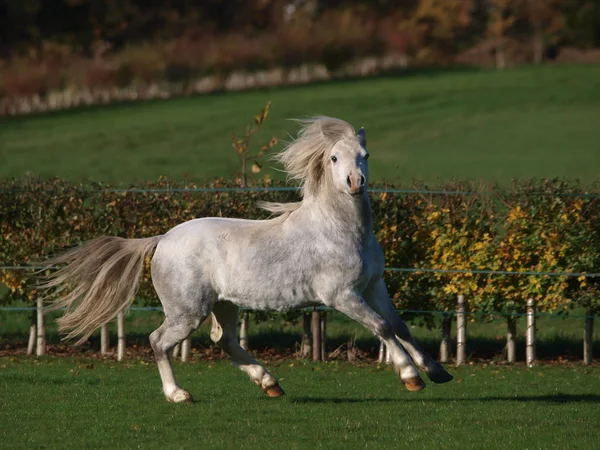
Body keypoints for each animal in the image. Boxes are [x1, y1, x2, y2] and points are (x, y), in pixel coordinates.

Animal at [42, 115, 452, 400]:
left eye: (365, 156)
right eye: (335, 157)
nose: (355, 183)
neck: (339, 231)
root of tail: (162, 239)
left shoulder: (373, 285)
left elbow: (399, 326)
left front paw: (438, 372)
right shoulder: (341, 295)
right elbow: (381, 327)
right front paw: (411, 377)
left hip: (224, 304)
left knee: (224, 341)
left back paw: (270, 383)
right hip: (187, 311)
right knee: (159, 341)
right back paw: (179, 395)